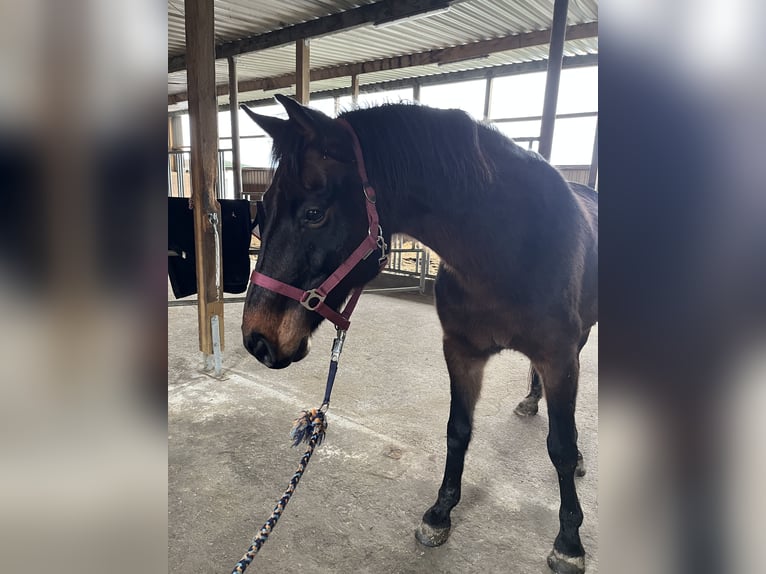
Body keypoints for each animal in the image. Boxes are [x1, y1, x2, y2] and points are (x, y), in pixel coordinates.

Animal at [240, 94, 598, 574]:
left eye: (313, 214)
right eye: (262, 210)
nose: (256, 339)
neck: (508, 251)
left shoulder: (559, 357)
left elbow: (560, 445)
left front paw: (569, 541)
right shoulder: (461, 352)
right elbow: (458, 430)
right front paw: (440, 513)